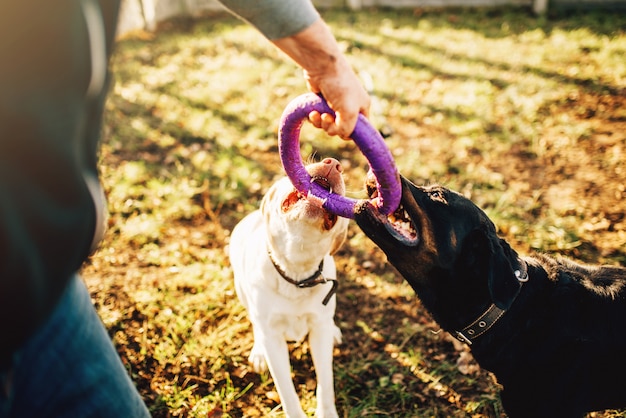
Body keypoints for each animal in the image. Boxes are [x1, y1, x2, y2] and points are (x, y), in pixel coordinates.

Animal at [228, 158, 348, 418]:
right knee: (255, 323)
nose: (333, 163)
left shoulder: (318, 331)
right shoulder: (273, 339)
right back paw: (258, 352)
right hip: (242, 291)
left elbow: (326, 383)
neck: (296, 271)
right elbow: (286, 389)